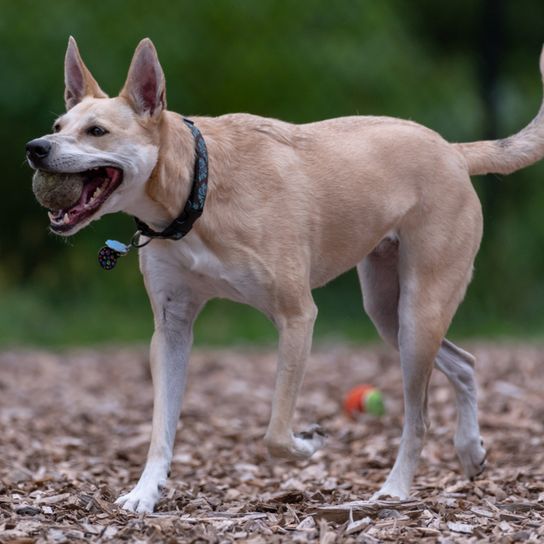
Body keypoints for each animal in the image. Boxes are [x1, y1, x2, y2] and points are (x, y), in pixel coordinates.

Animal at [26, 39, 544, 516]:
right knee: (466, 363)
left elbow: (276, 432)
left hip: (419, 313)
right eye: (57, 128)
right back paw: (471, 451)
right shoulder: (171, 330)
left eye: (97, 131)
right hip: (387, 312)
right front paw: (144, 494)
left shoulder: (297, 317)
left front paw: (309, 442)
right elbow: (161, 429)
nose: (36, 149)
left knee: (418, 418)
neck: (197, 189)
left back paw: (394, 491)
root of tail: (451, 151)